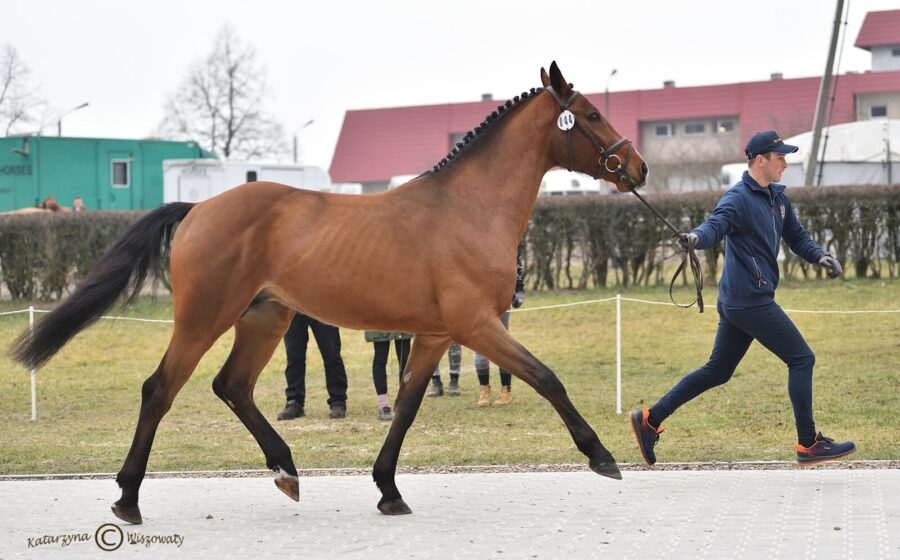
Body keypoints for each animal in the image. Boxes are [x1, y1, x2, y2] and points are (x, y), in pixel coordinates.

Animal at [12, 62, 648, 524]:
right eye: (591, 113)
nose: (637, 168)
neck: (468, 208)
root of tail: (197, 209)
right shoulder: (477, 326)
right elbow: (546, 377)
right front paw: (601, 455)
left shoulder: (435, 335)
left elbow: (407, 406)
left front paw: (389, 489)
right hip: (203, 319)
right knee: (160, 390)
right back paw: (128, 499)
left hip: (265, 319)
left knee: (232, 386)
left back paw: (286, 470)